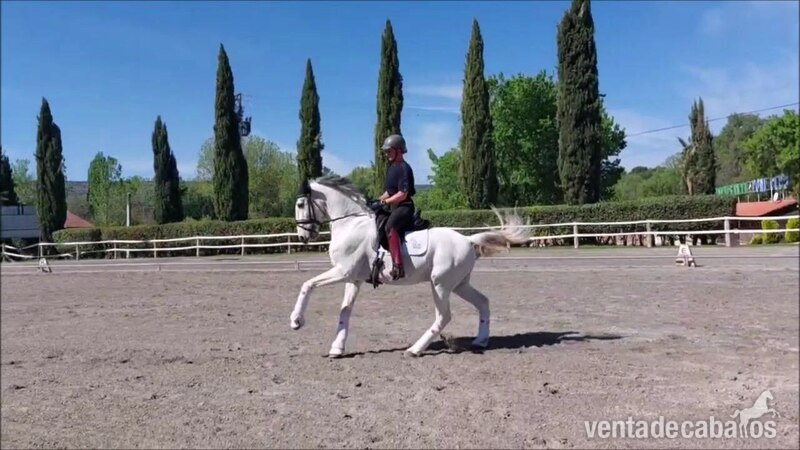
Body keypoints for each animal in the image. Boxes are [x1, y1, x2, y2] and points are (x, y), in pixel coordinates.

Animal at [290, 175, 532, 358]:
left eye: (300, 204)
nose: (303, 236)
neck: (351, 224)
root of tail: (467, 240)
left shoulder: (343, 271)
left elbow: (307, 284)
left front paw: (296, 321)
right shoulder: (354, 279)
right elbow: (345, 311)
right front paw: (337, 348)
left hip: (440, 284)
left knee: (444, 316)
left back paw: (415, 349)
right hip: (459, 284)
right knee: (482, 302)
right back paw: (481, 341)